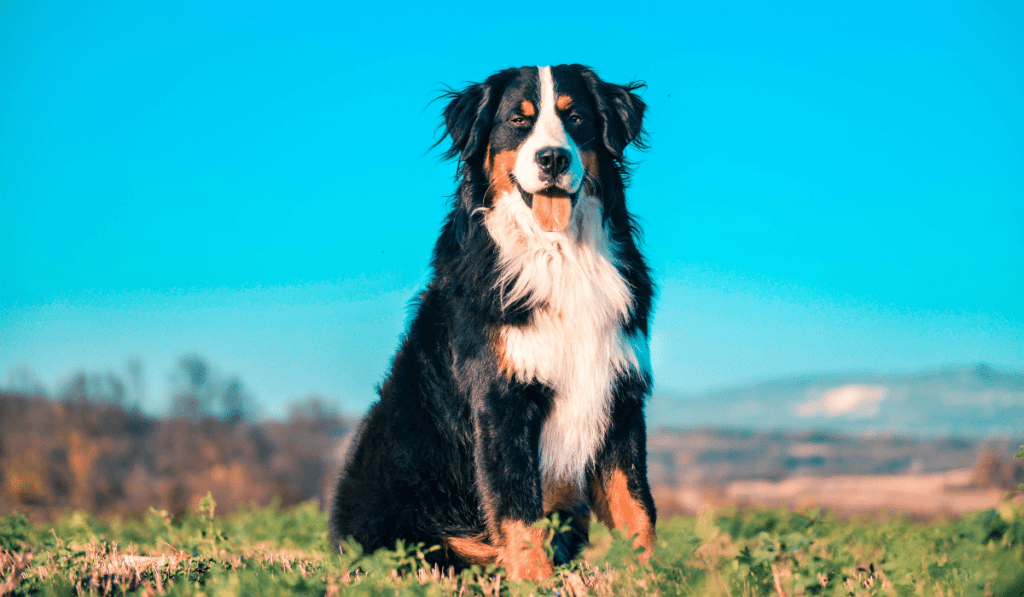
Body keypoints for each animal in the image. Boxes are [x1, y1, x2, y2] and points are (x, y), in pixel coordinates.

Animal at [329, 65, 655, 585]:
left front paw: (652, 580)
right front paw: (537, 585)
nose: (552, 158)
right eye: (518, 122)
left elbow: (636, 508)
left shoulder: (621, 397)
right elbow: (518, 510)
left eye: (576, 118)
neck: (560, 257)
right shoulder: (500, 401)